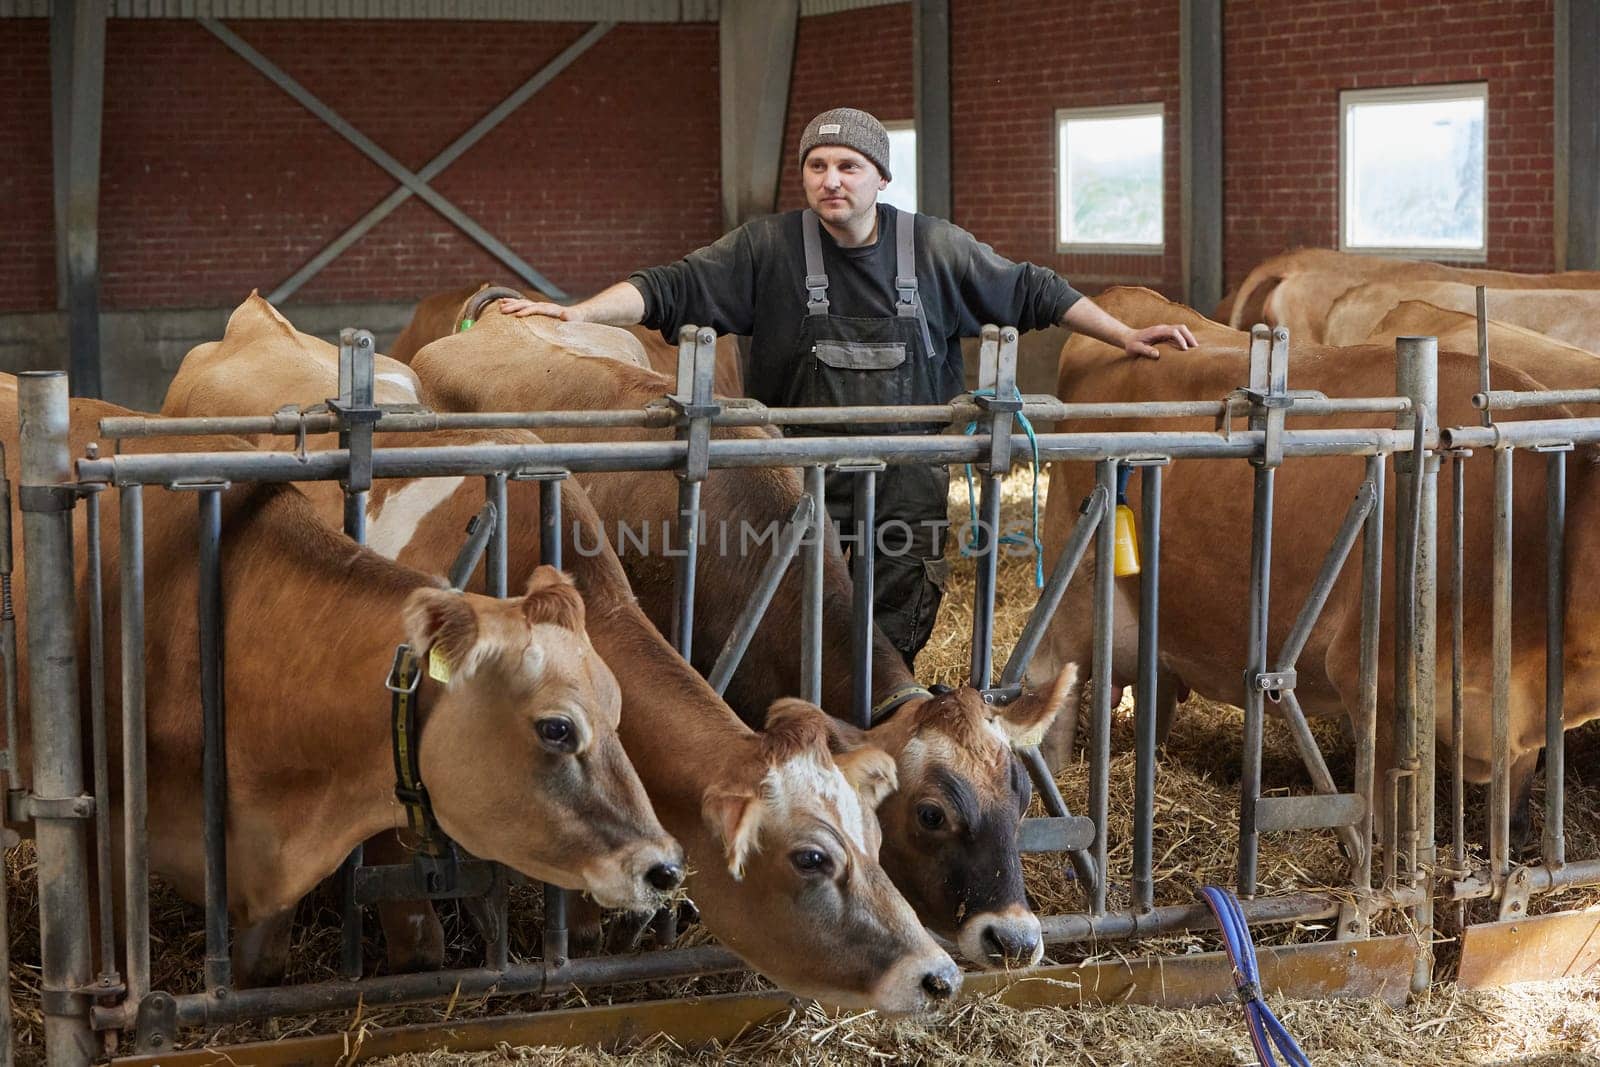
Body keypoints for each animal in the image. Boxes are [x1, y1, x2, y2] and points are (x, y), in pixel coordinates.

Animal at [1030, 289, 1593, 844]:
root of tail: (1127, 294)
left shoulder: (1521, 720)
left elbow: (1511, 812)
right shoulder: (1378, 681)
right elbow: (1387, 821)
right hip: (1070, 585)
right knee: (1054, 689)